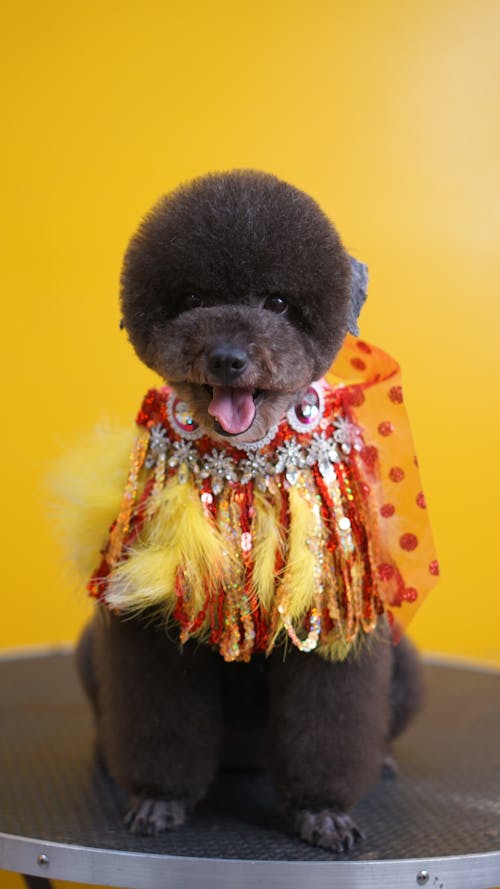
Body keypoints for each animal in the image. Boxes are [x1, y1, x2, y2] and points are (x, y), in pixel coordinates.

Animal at [76, 168, 424, 852]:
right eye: (189, 299)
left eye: (279, 304)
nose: (227, 358)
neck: (246, 463)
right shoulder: (150, 622)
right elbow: (160, 725)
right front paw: (158, 798)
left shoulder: (333, 620)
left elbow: (330, 728)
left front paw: (321, 810)